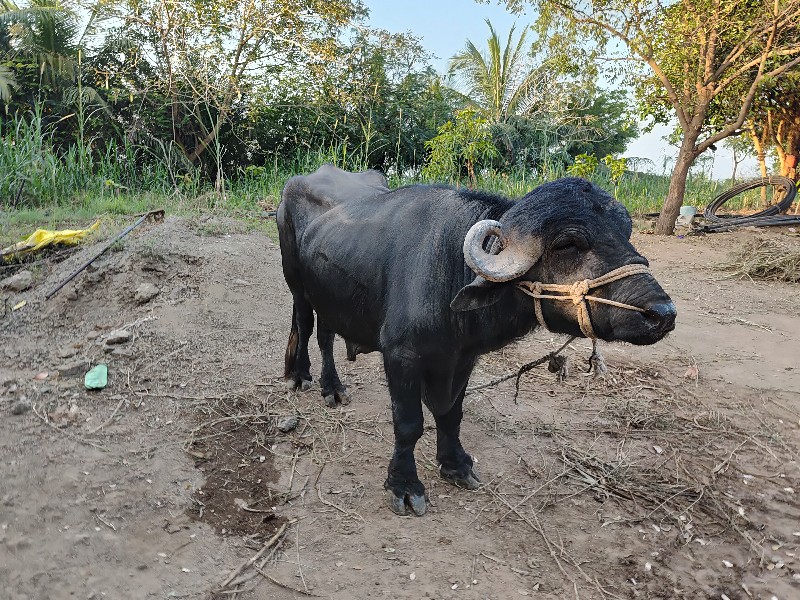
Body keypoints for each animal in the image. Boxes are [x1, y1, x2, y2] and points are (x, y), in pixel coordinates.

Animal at [276, 163, 676, 516]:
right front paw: (405, 485)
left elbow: (451, 413)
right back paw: (310, 379)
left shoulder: (462, 356)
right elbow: (409, 423)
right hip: (297, 285)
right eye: (568, 242)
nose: (663, 313)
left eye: (625, 232)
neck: (450, 266)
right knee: (307, 326)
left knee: (327, 332)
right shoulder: (400, 355)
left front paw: (455, 464)